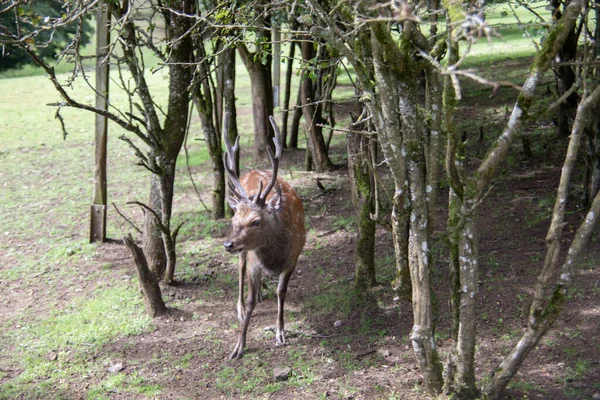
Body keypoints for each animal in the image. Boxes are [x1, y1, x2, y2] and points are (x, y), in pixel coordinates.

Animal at [221, 115, 308, 360]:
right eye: (234, 220)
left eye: (256, 221)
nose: (228, 244)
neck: (274, 257)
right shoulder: (253, 260)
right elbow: (251, 300)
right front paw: (238, 347)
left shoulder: (294, 257)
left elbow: (282, 292)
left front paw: (280, 333)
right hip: (244, 253)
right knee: (239, 268)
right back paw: (240, 307)